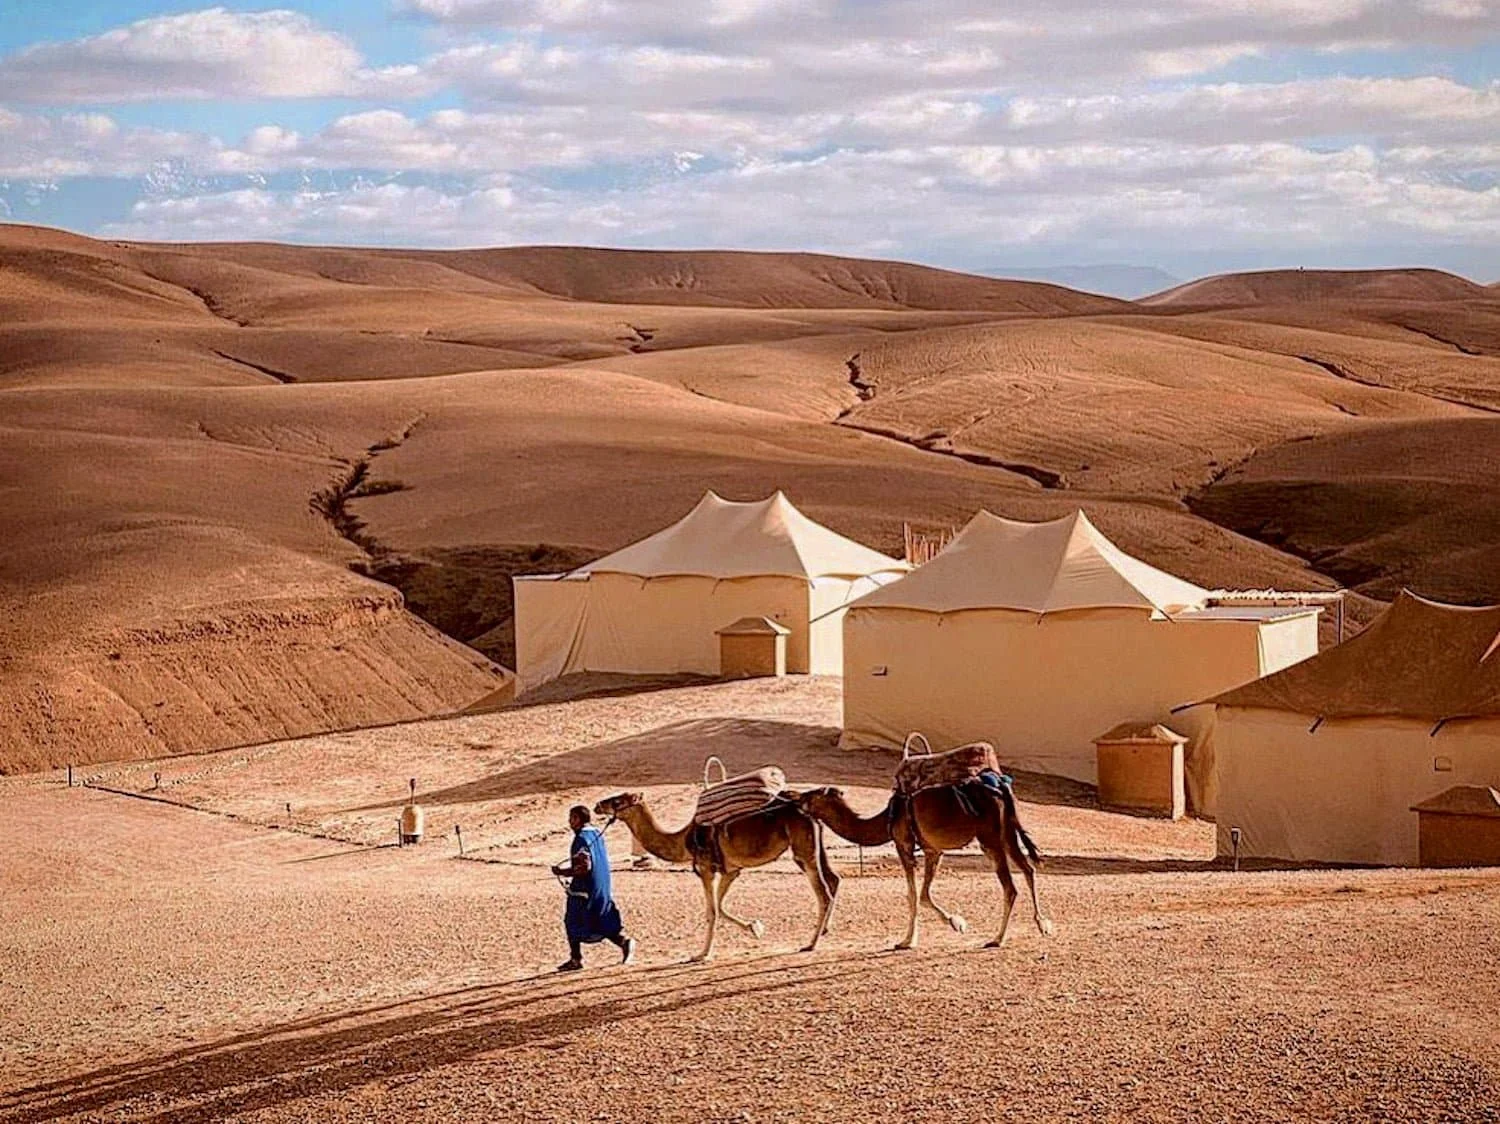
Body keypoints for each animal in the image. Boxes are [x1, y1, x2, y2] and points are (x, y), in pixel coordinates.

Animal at [591, 786, 840, 966]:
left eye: (617, 801)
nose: (597, 805)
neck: (683, 840)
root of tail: (811, 813)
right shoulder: (731, 871)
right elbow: (720, 908)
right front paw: (755, 928)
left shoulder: (706, 869)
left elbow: (711, 911)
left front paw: (701, 955)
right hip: (814, 848)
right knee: (833, 879)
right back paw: (824, 931)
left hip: (803, 851)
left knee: (823, 892)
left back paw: (810, 944)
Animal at [798, 786, 1056, 954]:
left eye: (811, 795)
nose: (794, 797)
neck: (886, 819)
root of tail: (1001, 794)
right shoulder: (933, 850)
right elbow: (923, 895)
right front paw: (955, 922)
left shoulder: (903, 845)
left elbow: (912, 895)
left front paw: (907, 941)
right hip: (1007, 834)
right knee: (1028, 869)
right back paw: (1043, 924)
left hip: (989, 838)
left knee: (1010, 887)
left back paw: (997, 939)